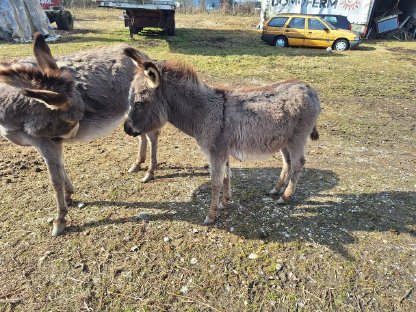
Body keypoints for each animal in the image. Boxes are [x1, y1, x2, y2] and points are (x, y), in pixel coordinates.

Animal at [0, 34, 158, 235]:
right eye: (70, 120)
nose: (68, 136)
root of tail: (143, 56)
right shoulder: (47, 142)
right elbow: (61, 169)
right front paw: (69, 196)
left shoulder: (44, 141)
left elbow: (55, 179)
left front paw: (60, 220)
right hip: (130, 112)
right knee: (141, 135)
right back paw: (138, 164)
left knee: (152, 136)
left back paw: (150, 172)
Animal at [123, 48, 322, 224]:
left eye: (140, 103)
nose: (126, 129)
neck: (204, 111)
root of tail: (310, 89)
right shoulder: (222, 151)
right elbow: (226, 177)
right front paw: (225, 202)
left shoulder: (216, 152)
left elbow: (215, 182)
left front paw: (211, 215)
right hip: (284, 140)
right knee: (287, 163)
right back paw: (276, 189)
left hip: (297, 138)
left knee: (298, 164)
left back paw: (285, 197)